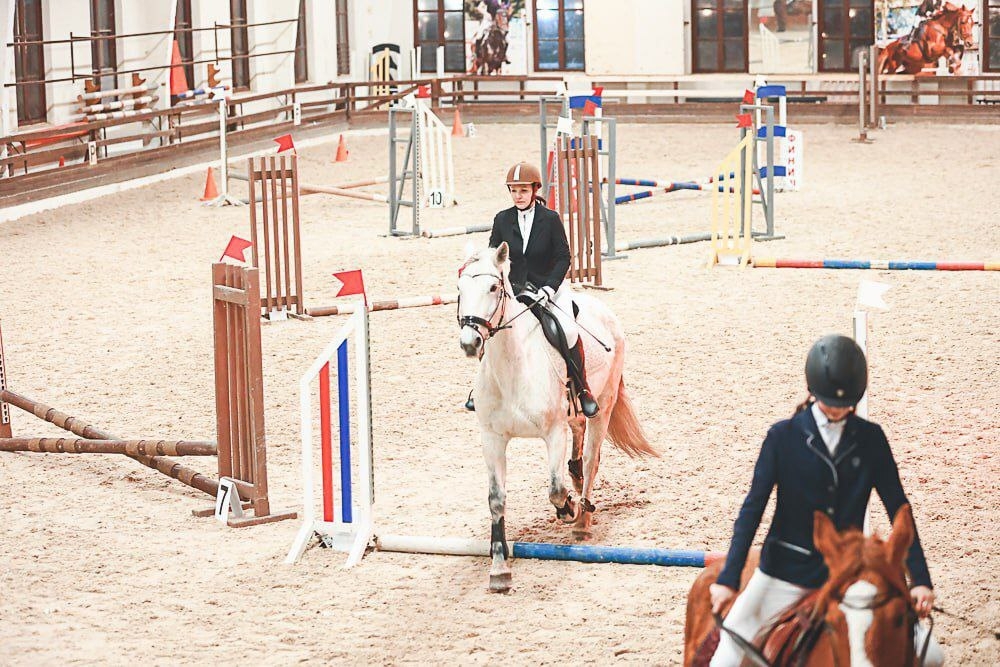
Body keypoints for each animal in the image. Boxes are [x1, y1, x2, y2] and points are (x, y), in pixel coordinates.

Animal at [457, 243, 659, 593]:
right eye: (459, 289)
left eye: (494, 287)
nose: (470, 343)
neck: (511, 368)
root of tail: (602, 309)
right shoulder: (492, 438)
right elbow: (496, 500)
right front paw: (499, 569)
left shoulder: (553, 432)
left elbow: (555, 489)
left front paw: (570, 508)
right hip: (574, 412)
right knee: (579, 441)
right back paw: (576, 481)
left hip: (604, 404)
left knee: (591, 458)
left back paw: (583, 518)